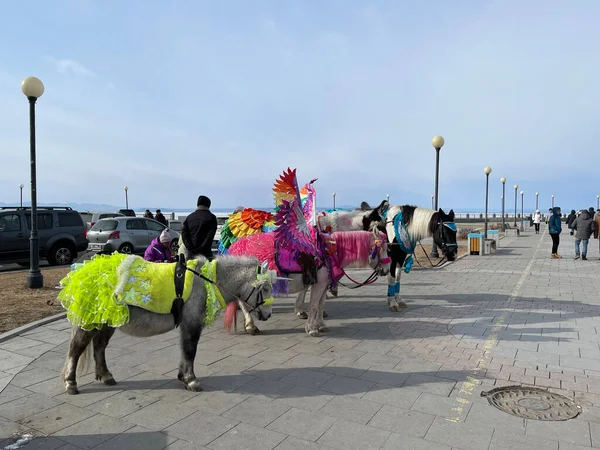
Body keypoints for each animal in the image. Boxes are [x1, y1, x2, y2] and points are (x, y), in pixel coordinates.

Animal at [59, 255, 276, 396]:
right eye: (265, 288)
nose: (268, 315)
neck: (205, 282)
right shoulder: (192, 322)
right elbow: (190, 350)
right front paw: (191, 380)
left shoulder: (186, 324)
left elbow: (185, 350)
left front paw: (183, 377)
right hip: (91, 321)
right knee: (76, 348)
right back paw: (70, 383)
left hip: (108, 320)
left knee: (99, 346)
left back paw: (106, 376)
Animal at [226, 227, 390, 336]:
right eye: (383, 248)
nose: (387, 270)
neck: (329, 251)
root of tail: (235, 247)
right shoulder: (318, 285)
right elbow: (313, 306)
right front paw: (311, 328)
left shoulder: (324, 285)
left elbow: (321, 305)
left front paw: (321, 325)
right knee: (242, 302)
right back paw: (250, 325)